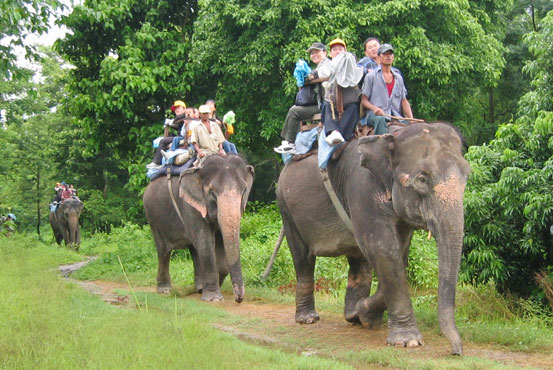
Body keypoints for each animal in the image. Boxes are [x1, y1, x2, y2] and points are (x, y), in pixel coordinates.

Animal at [142, 155, 254, 302]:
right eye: (212, 193)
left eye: (244, 191)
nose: (239, 299)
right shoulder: (189, 205)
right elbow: (205, 242)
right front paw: (213, 298)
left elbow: (218, 244)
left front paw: (207, 289)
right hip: (152, 217)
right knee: (164, 251)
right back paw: (164, 290)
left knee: (193, 249)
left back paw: (199, 288)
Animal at [276, 123, 470, 354]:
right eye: (422, 180)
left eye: (467, 176)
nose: (455, 351)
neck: (393, 136)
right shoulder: (361, 187)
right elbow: (383, 249)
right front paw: (407, 341)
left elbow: (398, 253)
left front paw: (363, 315)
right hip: (286, 207)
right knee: (303, 258)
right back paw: (308, 319)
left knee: (358, 259)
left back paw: (353, 315)